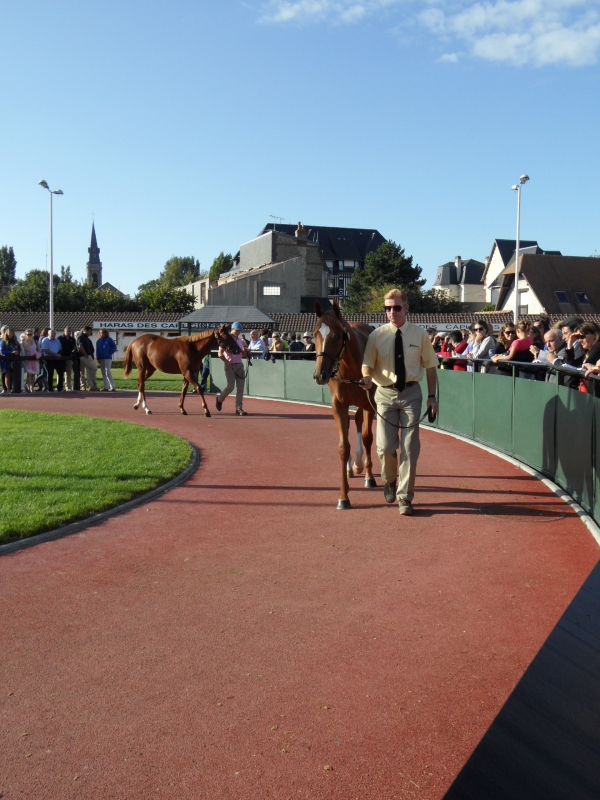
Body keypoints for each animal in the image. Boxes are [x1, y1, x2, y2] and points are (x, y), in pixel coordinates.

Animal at [313, 299, 377, 510]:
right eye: (315, 334)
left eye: (337, 335)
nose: (320, 374)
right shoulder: (338, 405)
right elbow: (343, 447)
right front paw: (343, 496)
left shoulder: (370, 405)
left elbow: (367, 437)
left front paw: (369, 477)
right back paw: (351, 466)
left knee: (359, 424)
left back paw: (359, 464)